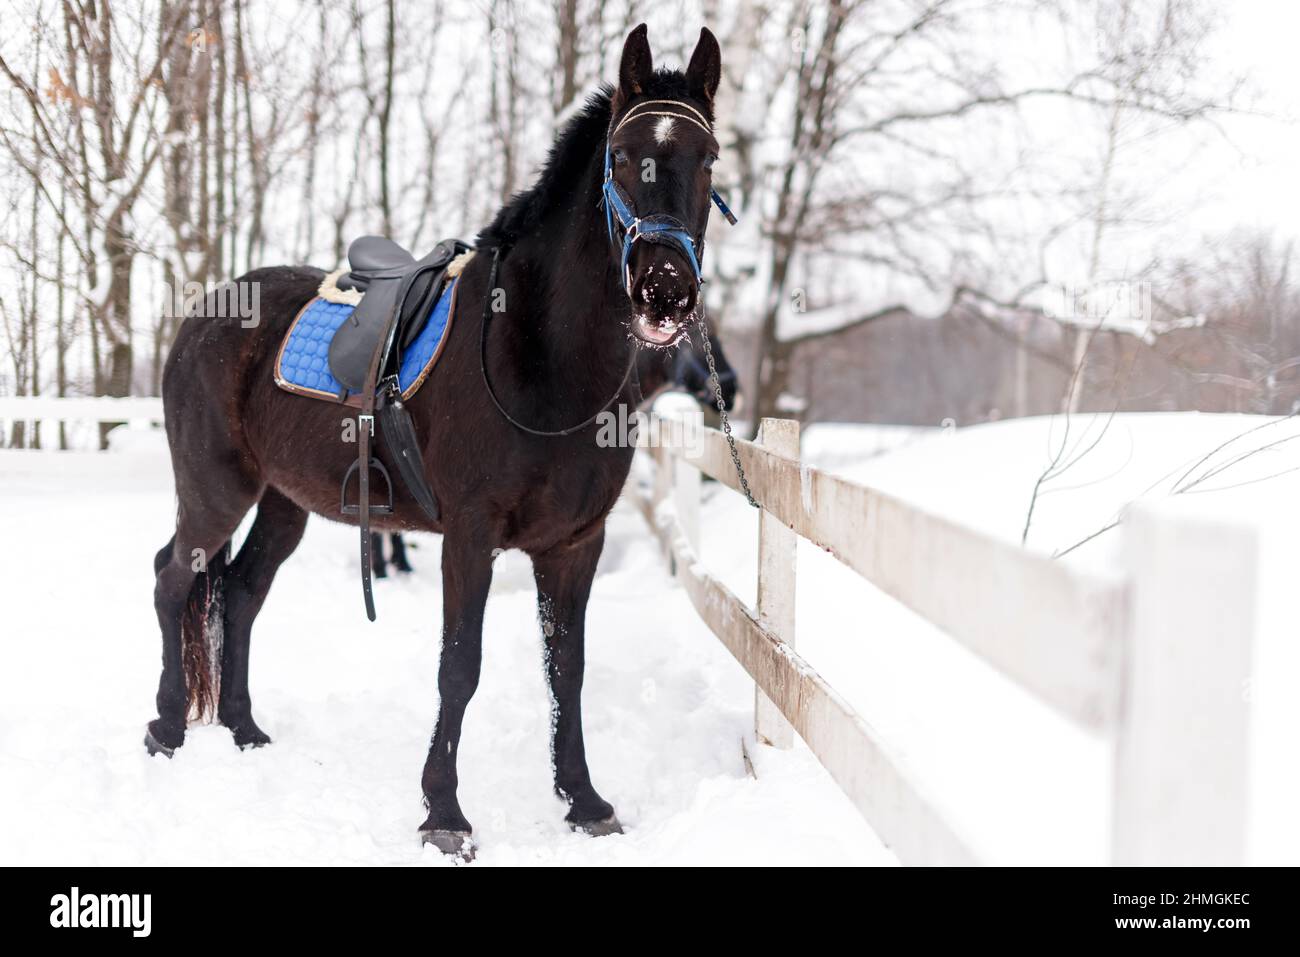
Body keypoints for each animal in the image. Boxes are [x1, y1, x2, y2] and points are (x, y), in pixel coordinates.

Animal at [147, 24, 728, 859]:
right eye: (621, 157)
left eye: (707, 157)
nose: (665, 291)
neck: (538, 356)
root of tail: (203, 315)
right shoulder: (470, 535)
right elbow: (461, 666)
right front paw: (444, 813)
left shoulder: (574, 543)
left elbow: (568, 667)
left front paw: (584, 800)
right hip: (215, 489)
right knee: (173, 578)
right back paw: (166, 728)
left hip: (285, 502)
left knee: (241, 591)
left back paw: (244, 728)